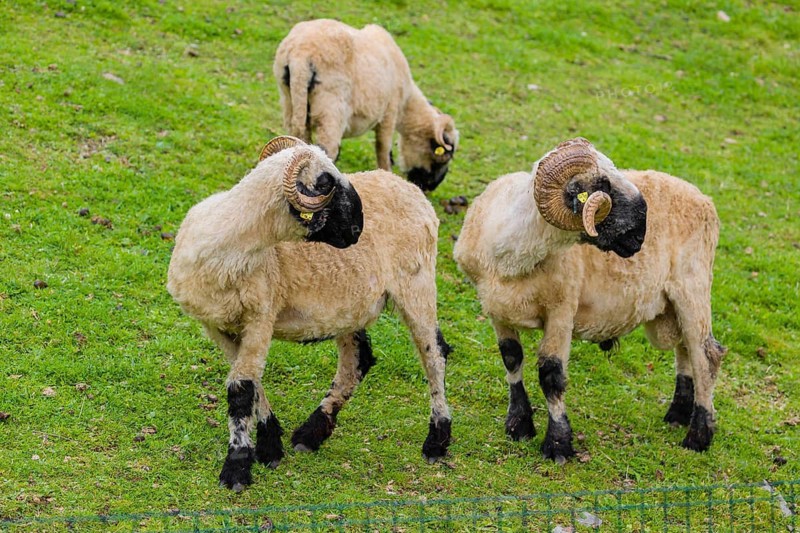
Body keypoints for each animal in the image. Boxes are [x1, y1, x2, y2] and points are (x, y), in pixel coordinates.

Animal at [167, 136, 452, 491]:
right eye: (326, 184)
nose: (357, 229)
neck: (229, 243)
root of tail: (411, 189)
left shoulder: (261, 316)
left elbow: (242, 389)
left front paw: (237, 468)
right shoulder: (218, 326)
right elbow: (251, 383)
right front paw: (269, 444)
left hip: (417, 283)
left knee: (434, 355)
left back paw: (437, 440)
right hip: (350, 307)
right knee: (357, 361)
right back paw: (311, 433)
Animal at [273, 18, 459, 192]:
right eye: (443, 156)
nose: (432, 186)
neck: (406, 104)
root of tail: (300, 55)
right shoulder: (389, 114)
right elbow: (383, 149)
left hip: (289, 100)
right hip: (331, 107)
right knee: (327, 149)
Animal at [454, 138, 726, 463]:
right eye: (603, 184)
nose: (641, 236)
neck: (511, 255)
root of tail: (704, 199)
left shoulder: (562, 309)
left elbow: (551, 374)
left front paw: (558, 445)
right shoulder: (496, 311)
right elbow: (511, 359)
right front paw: (519, 425)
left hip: (692, 287)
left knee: (706, 355)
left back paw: (698, 436)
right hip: (673, 305)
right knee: (685, 348)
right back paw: (678, 415)